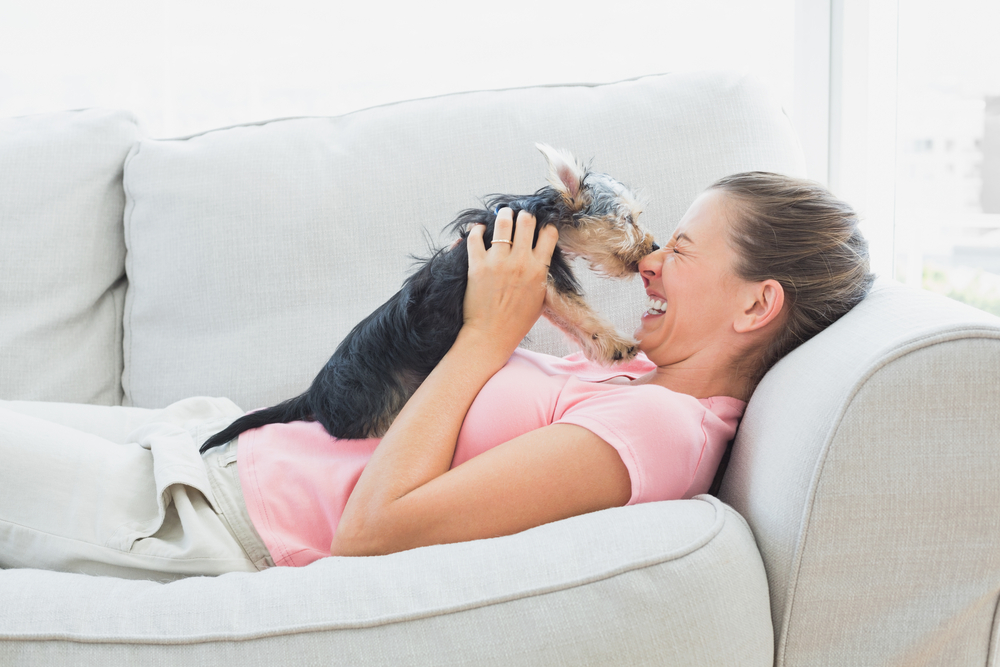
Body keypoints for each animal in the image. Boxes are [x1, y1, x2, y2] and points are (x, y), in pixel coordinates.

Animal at [200, 144, 660, 452]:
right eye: (627, 220)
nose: (653, 246)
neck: (536, 214)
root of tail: (312, 396)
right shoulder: (542, 278)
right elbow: (579, 312)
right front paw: (619, 345)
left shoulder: (541, 285)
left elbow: (571, 318)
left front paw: (606, 351)